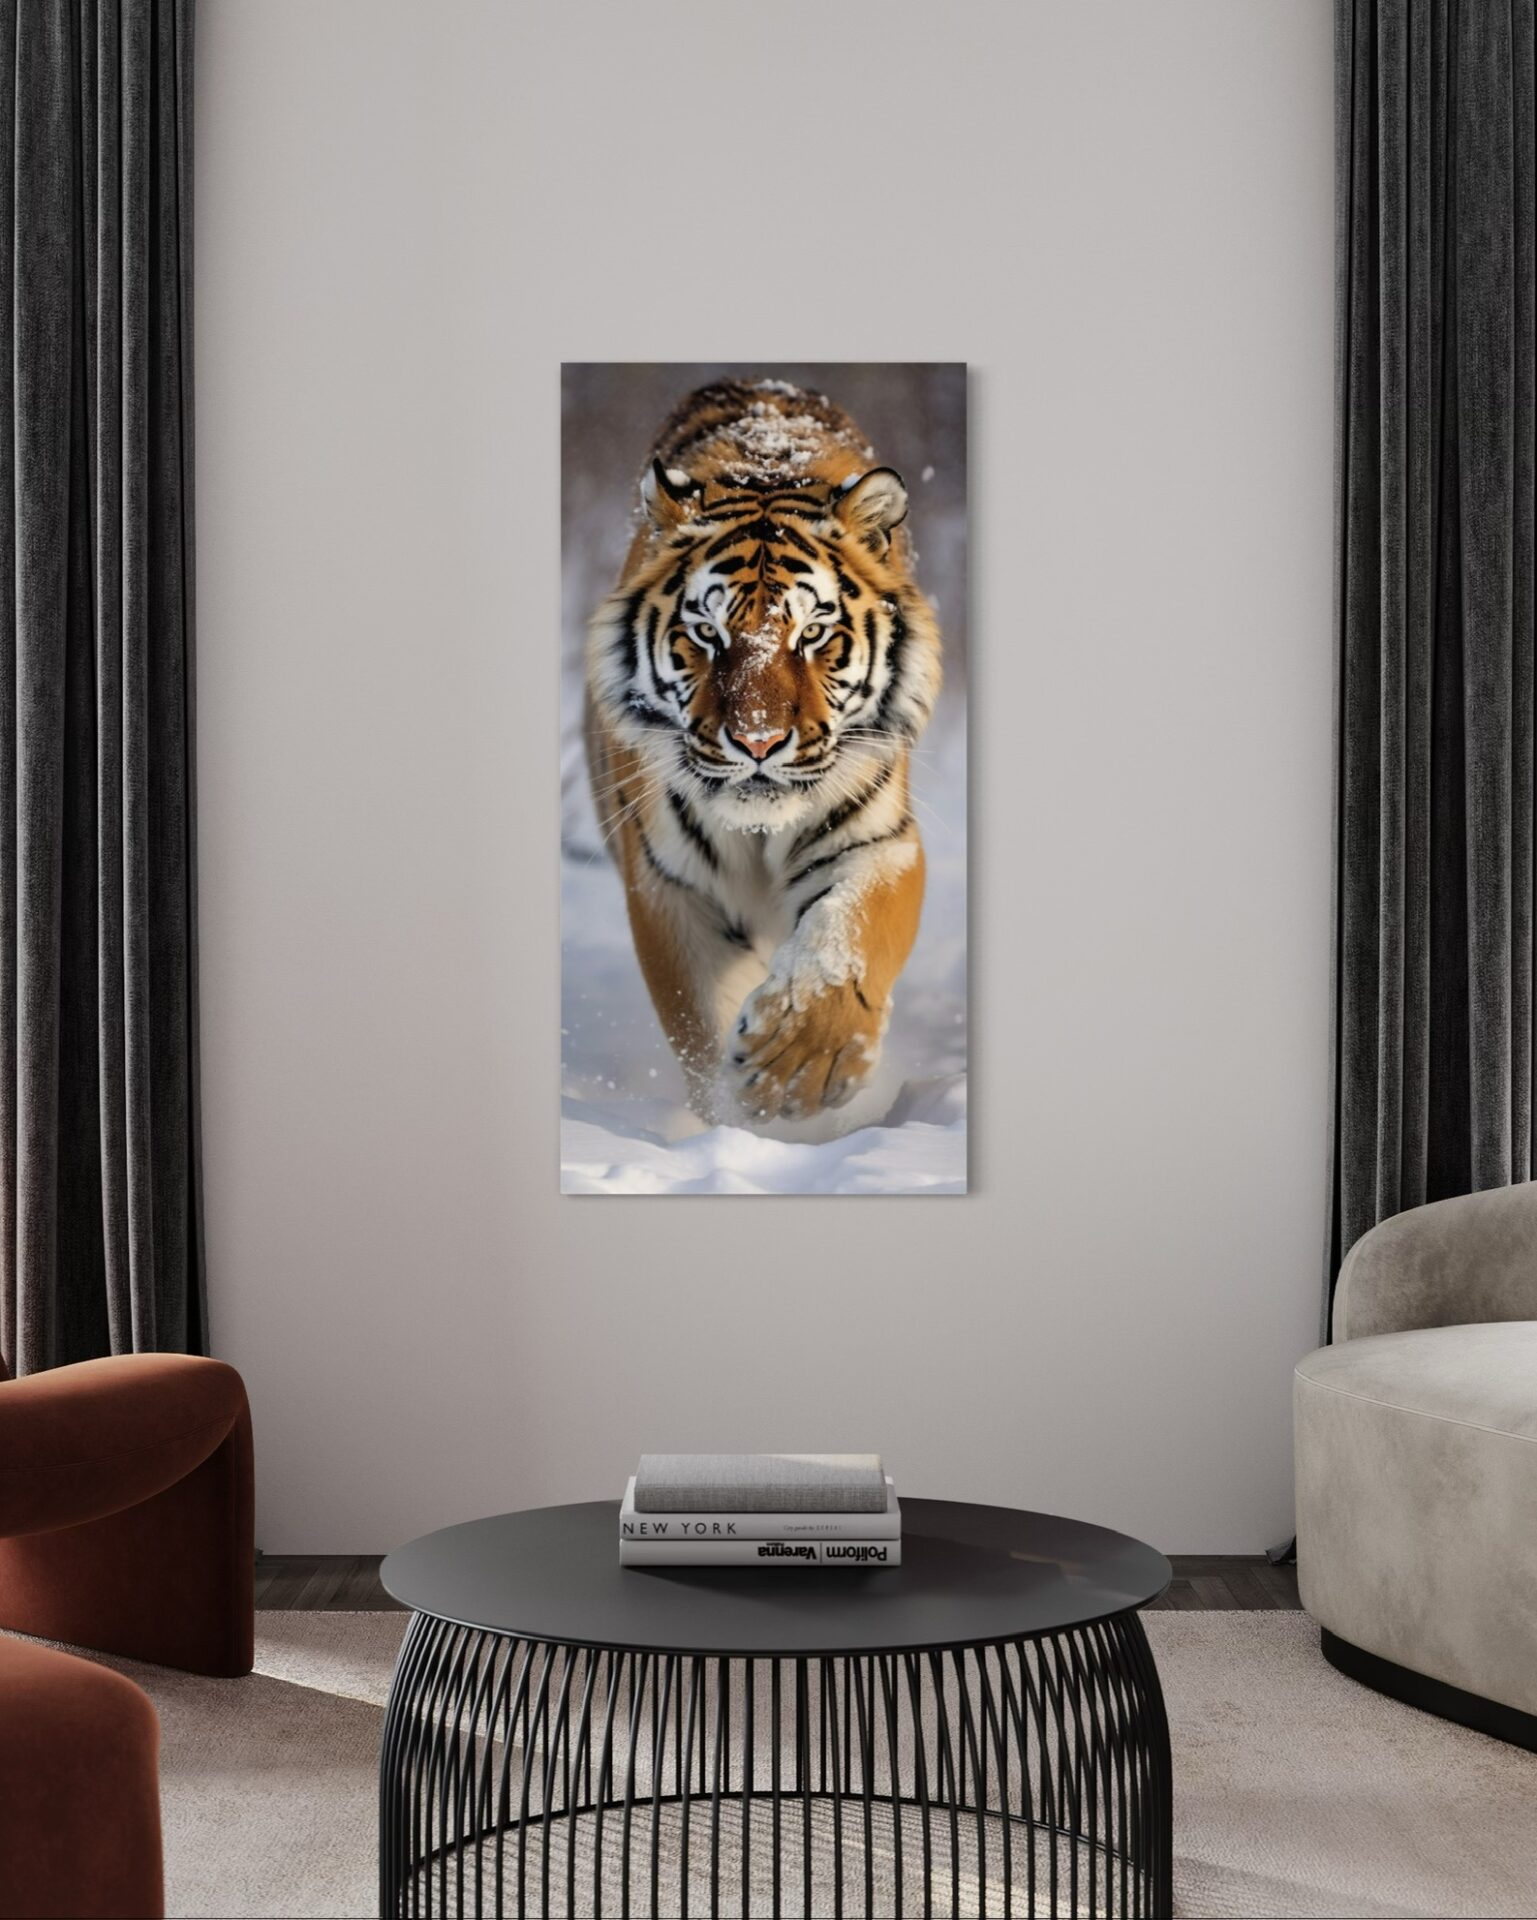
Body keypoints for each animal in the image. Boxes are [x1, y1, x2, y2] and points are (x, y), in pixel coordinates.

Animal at [584, 379, 942, 1126]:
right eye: (706, 632)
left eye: (813, 634)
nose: (756, 740)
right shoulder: (667, 881)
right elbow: (703, 1016)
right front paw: (738, 1121)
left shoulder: (879, 842)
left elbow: (848, 939)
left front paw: (797, 1066)